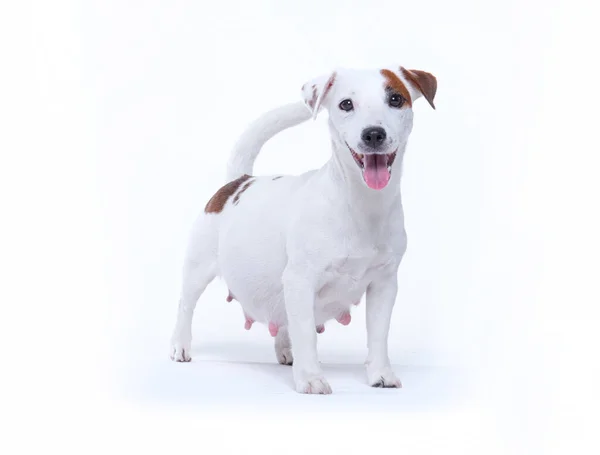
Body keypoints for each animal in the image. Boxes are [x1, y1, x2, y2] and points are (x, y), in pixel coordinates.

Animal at [169, 65, 436, 396]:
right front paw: (310, 377)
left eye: (396, 99)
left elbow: (378, 334)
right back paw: (180, 346)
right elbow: (306, 333)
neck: (361, 204)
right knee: (185, 305)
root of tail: (239, 180)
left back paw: (286, 350)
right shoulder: (301, 280)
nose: (373, 133)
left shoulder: (384, 285)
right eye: (346, 104)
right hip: (198, 269)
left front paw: (380, 374)